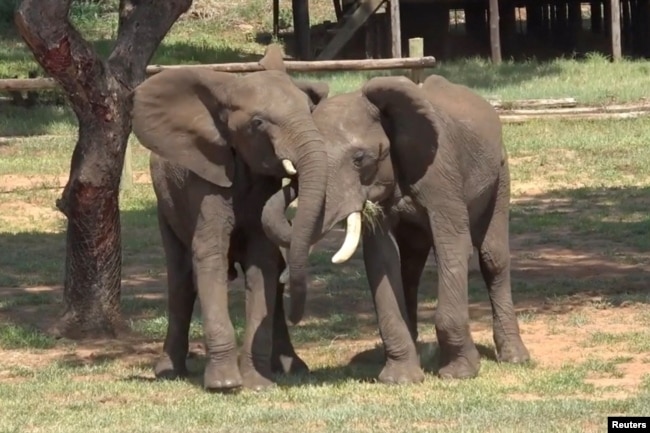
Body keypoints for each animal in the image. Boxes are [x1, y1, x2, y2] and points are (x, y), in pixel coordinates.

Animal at [128, 47, 326, 392]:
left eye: (310, 110)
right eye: (258, 123)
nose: (293, 177)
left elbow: (263, 263)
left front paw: (257, 384)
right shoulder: (204, 181)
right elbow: (209, 255)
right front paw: (224, 385)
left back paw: (294, 368)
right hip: (165, 206)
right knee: (180, 280)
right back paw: (168, 371)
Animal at [260, 73, 528, 382]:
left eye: (360, 159)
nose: (290, 181)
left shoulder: (441, 173)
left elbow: (453, 246)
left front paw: (459, 373)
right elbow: (382, 258)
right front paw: (400, 379)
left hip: (501, 173)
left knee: (492, 258)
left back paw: (516, 357)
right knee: (410, 267)